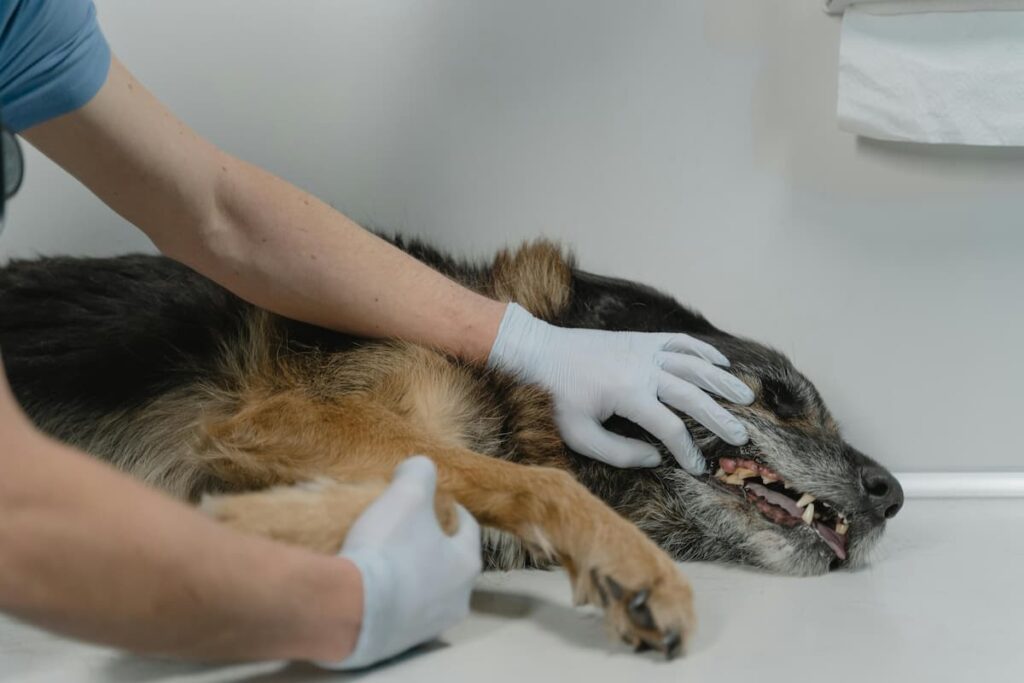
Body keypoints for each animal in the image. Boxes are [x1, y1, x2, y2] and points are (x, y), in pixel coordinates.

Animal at [0, 237, 901, 659]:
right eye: (779, 398)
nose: (892, 492)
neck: (509, 386)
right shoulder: (281, 415)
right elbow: (531, 481)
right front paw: (629, 561)